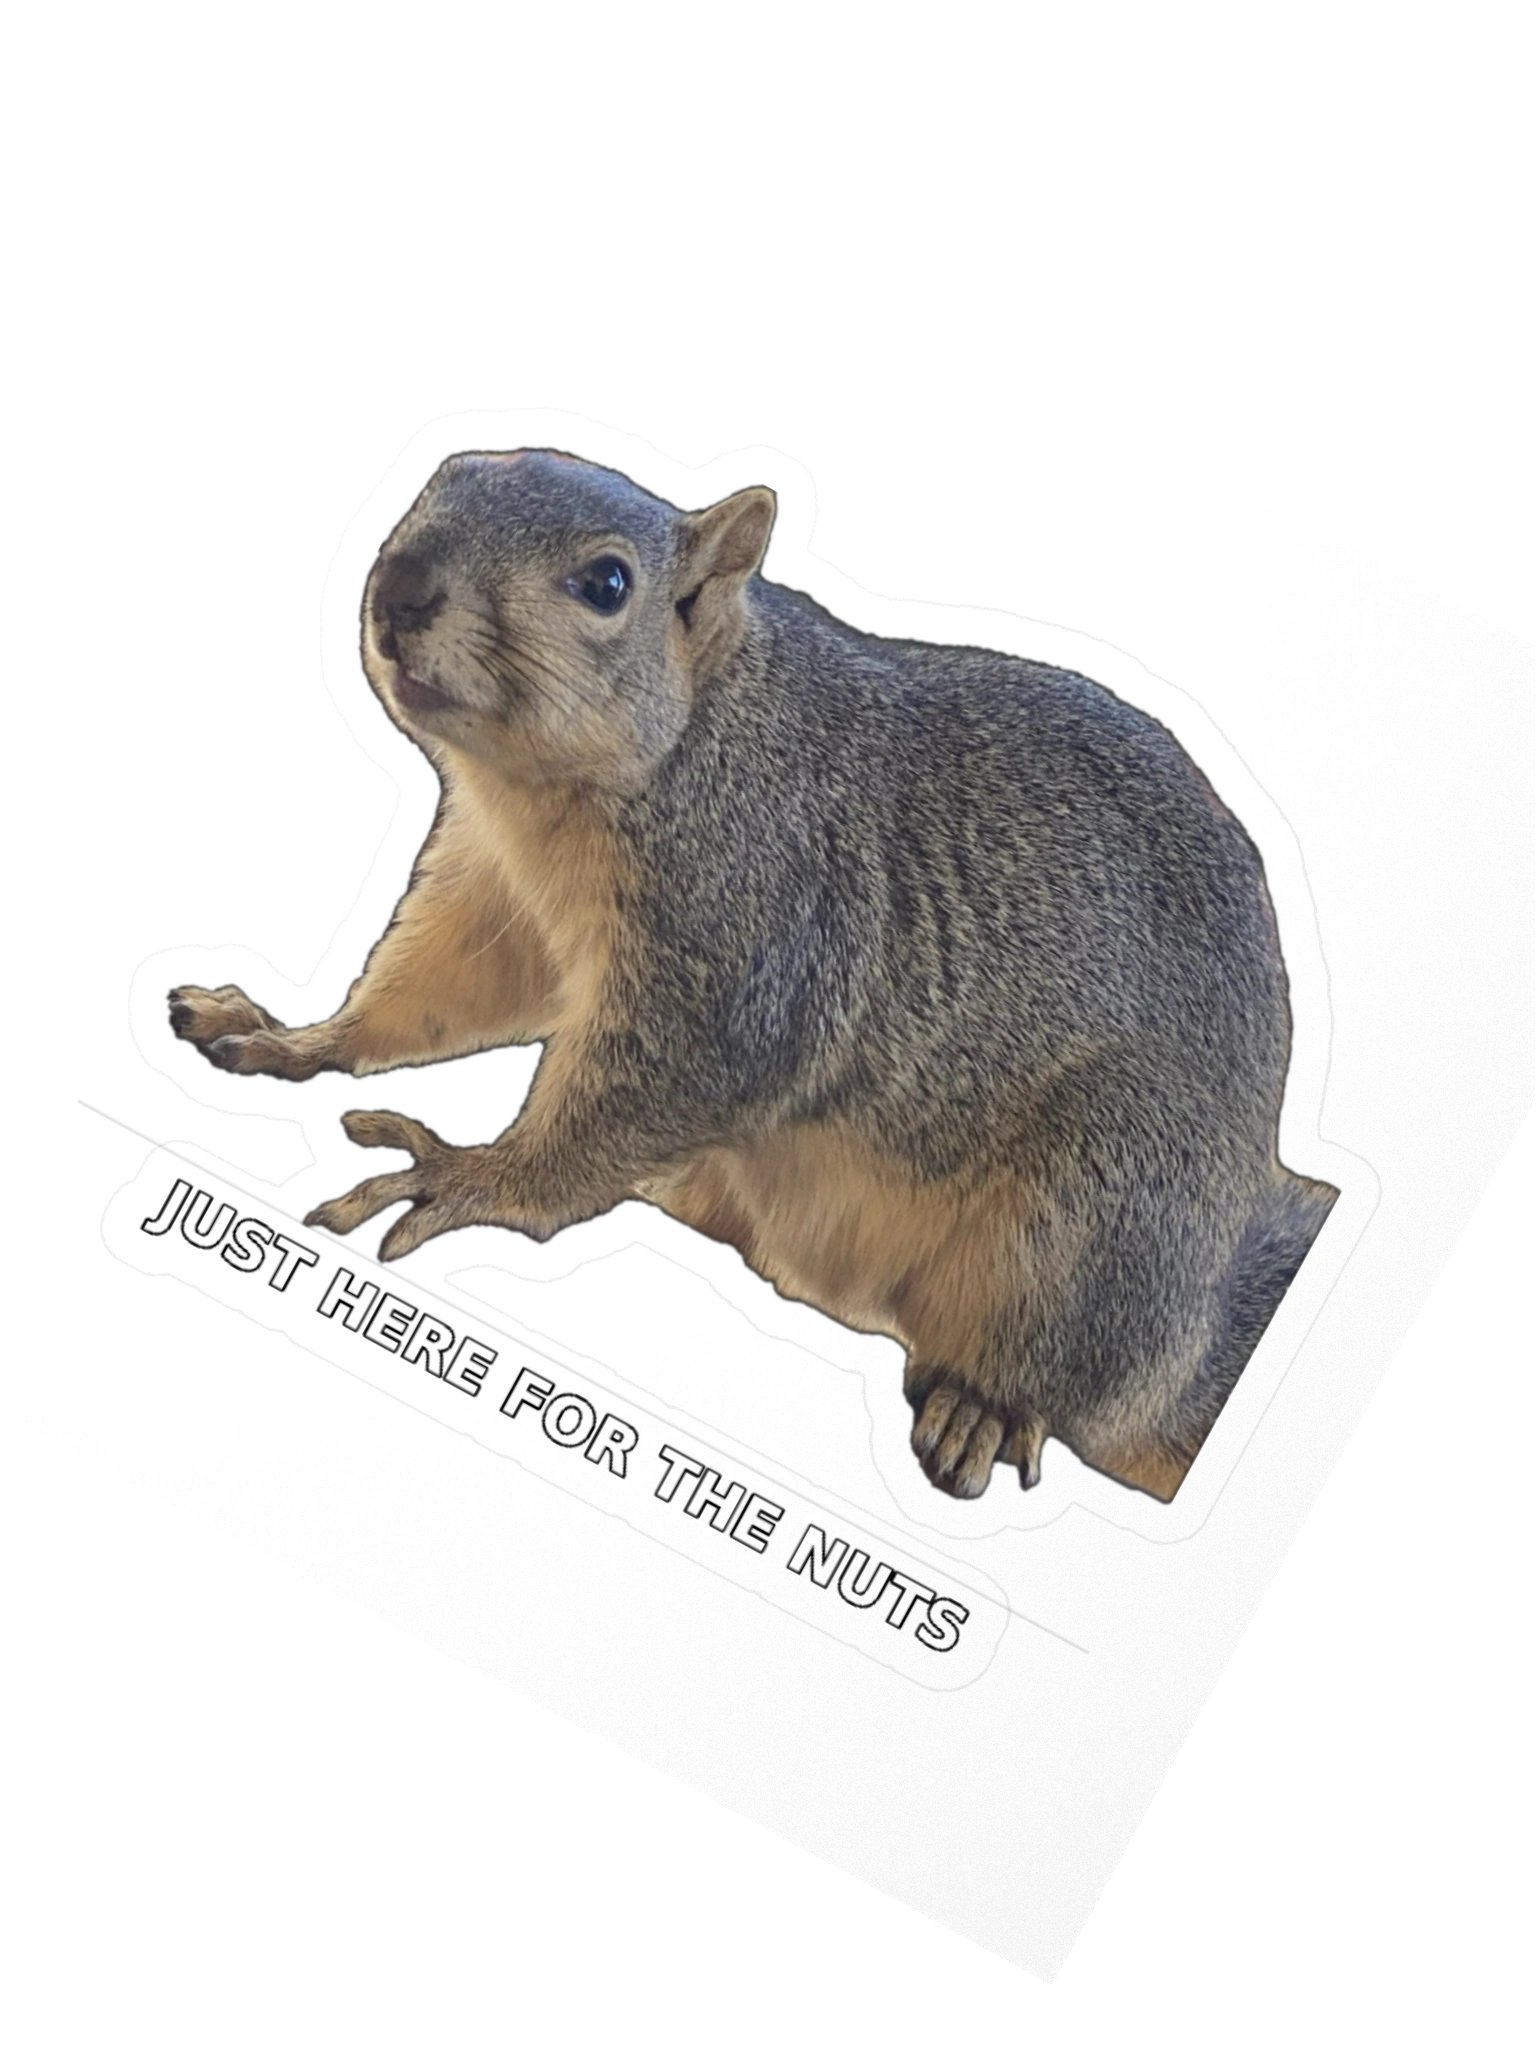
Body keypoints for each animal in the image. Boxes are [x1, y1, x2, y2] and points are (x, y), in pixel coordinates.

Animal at [168, 448, 1338, 1503]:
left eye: (607, 584)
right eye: (432, 487)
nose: (403, 586)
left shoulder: (756, 926)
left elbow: (653, 1086)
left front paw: (468, 1173)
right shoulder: (493, 895)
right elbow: (433, 993)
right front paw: (288, 1035)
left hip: (1099, 1210)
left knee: (1061, 1357)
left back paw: (984, 1404)